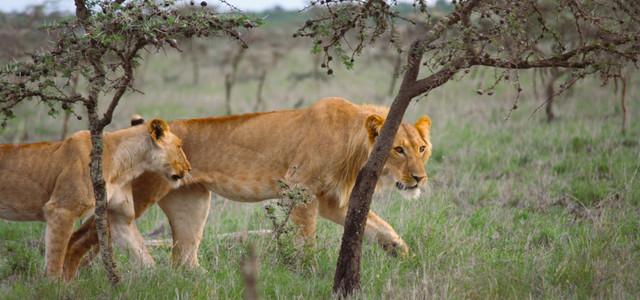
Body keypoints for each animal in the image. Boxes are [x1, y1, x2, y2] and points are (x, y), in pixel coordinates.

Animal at [0, 118, 190, 280]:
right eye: (179, 146)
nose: (189, 168)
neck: (125, 164)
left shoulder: (121, 216)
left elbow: (142, 253)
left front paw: (162, 281)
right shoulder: (60, 210)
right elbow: (55, 261)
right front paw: (54, 290)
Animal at [65, 97, 432, 278]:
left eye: (421, 148)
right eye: (398, 150)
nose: (419, 179)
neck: (354, 143)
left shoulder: (330, 200)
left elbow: (378, 225)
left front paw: (401, 253)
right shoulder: (301, 189)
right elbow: (307, 240)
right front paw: (309, 273)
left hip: (191, 202)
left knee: (182, 257)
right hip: (141, 192)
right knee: (87, 234)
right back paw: (70, 279)